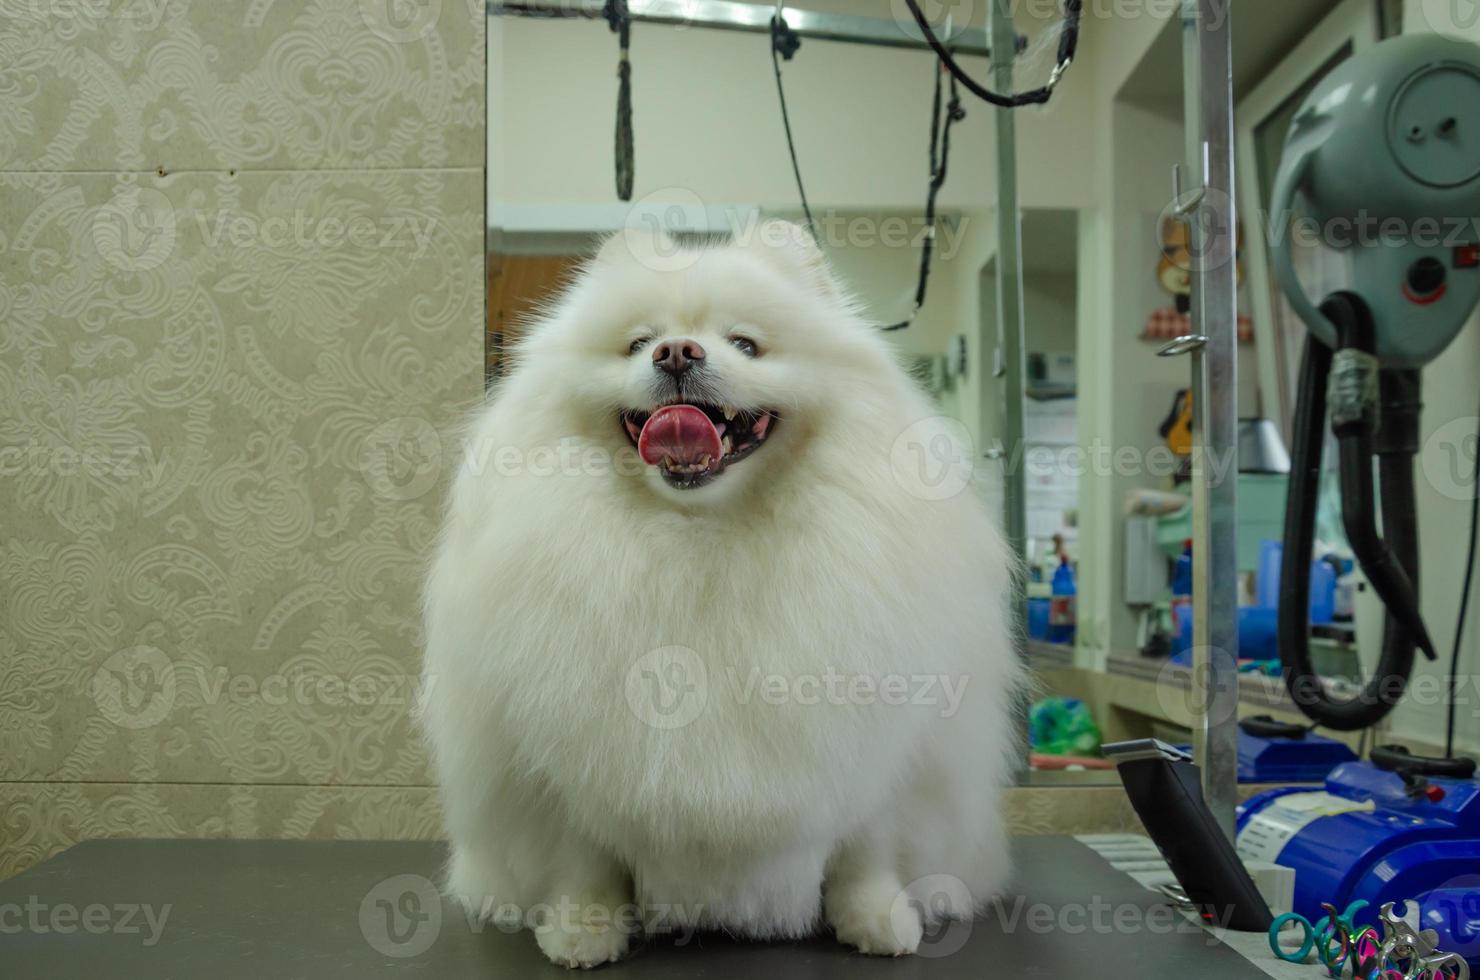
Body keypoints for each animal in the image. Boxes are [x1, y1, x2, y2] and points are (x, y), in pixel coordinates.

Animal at [417, 220, 1018, 965]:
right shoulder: (565, 763)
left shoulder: (880, 749)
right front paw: (584, 928)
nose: (677, 351)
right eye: (638, 342)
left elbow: (867, 848)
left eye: (746, 343)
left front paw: (878, 918)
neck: (702, 536)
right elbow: (585, 857)